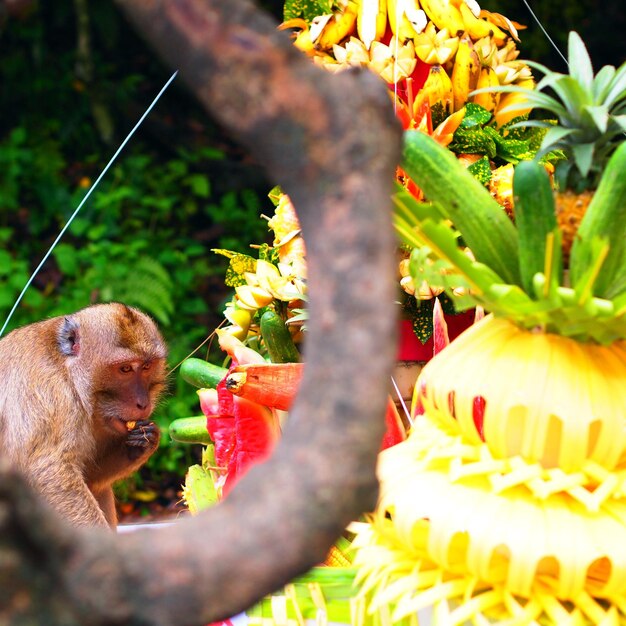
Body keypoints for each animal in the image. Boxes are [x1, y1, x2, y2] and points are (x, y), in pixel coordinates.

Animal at [0, 302, 167, 528]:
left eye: (147, 366)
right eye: (125, 369)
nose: (143, 403)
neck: (68, 373)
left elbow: (91, 479)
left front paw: (145, 441)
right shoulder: (49, 393)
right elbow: (48, 471)